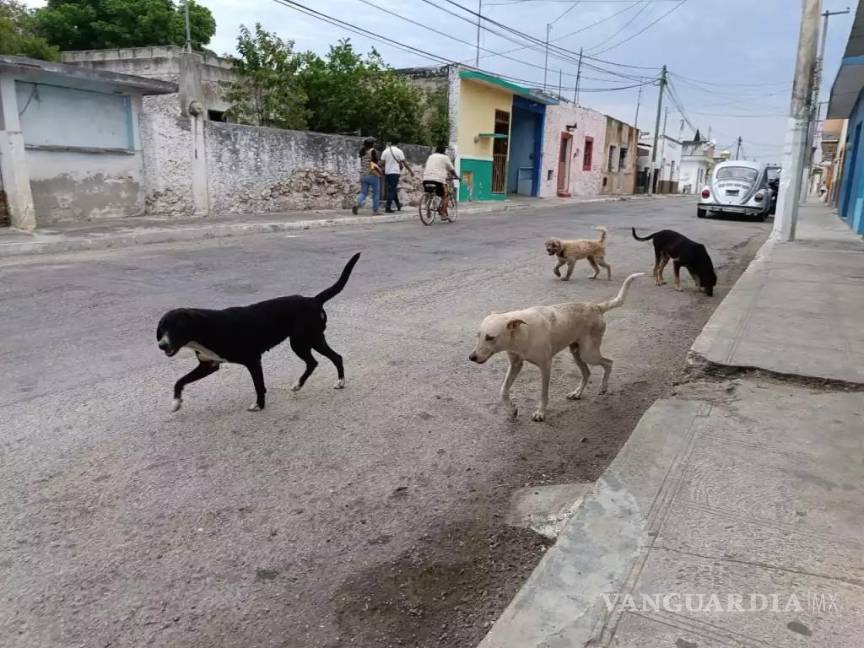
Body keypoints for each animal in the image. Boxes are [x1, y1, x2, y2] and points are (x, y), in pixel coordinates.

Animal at [157, 253, 361, 412]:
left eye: (177, 326)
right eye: (161, 328)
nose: (161, 345)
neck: (205, 329)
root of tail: (313, 300)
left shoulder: (252, 360)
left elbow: (259, 385)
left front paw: (259, 405)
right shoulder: (209, 365)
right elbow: (179, 381)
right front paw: (176, 402)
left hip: (305, 340)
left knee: (332, 358)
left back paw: (340, 382)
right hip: (305, 341)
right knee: (317, 361)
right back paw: (300, 384)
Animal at [468, 272, 643, 422]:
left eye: (490, 337)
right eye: (478, 335)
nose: (471, 357)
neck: (522, 334)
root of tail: (596, 307)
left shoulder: (546, 366)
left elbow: (544, 393)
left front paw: (540, 412)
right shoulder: (516, 364)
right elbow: (503, 391)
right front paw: (511, 410)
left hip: (588, 353)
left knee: (608, 363)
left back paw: (603, 387)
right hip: (576, 352)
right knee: (587, 372)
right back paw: (577, 393)